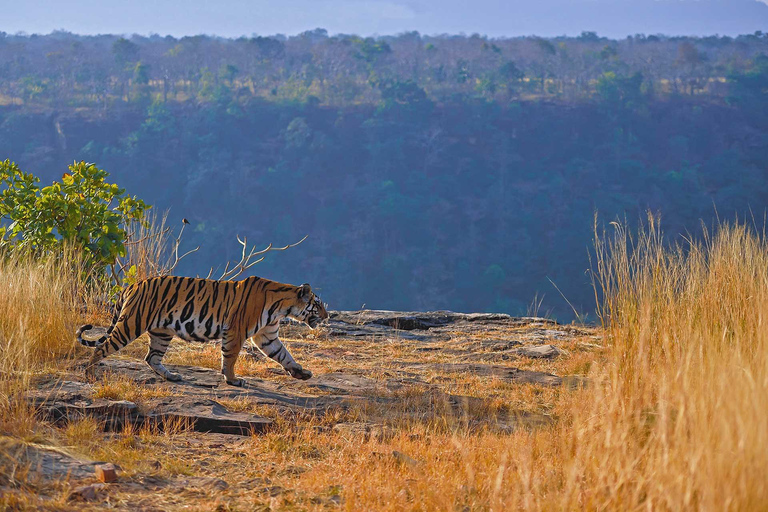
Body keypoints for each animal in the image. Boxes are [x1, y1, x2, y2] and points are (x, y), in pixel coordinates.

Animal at [77, 276, 328, 384]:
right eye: (318, 304)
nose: (326, 317)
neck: (282, 306)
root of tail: (133, 284)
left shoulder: (266, 336)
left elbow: (284, 355)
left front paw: (301, 373)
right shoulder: (236, 331)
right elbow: (230, 358)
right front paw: (232, 380)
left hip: (161, 332)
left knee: (151, 357)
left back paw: (172, 376)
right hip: (131, 323)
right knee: (101, 347)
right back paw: (90, 374)